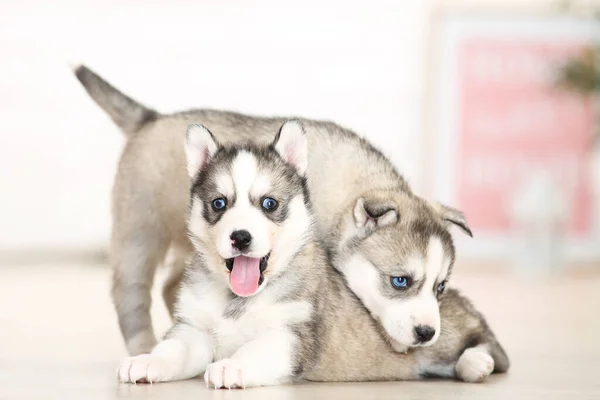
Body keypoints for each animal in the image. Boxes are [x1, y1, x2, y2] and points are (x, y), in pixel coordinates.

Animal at [76, 65, 488, 360]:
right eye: (400, 281)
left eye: (441, 287)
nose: (428, 334)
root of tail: (150, 118)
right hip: (139, 233)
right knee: (131, 292)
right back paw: (143, 346)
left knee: (169, 284)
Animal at [117, 122, 506, 388]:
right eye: (218, 204)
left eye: (269, 204)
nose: (240, 237)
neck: (237, 300)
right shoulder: (193, 330)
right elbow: (174, 350)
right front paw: (146, 361)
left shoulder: (291, 335)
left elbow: (256, 349)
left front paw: (232, 366)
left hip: (449, 336)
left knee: (489, 346)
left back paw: (475, 364)